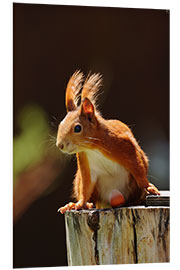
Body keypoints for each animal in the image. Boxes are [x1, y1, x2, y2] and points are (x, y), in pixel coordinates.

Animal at [56, 70, 160, 214]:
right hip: (80, 181)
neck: (92, 148)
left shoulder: (126, 147)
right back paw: (85, 205)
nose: (60, 145)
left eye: (77, 128)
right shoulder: (86, 165)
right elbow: (86, 187)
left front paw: (149, 187)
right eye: (60, 125)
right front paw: (79, 204)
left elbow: (138, 170)